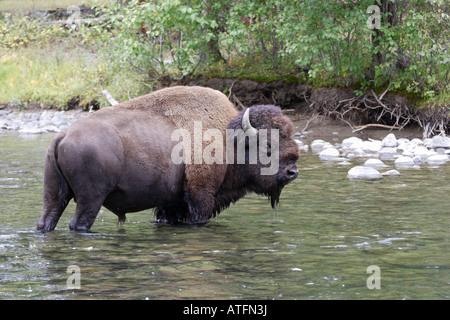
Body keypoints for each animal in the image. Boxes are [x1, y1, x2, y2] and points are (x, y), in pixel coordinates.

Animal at [36, 85, 298, 232]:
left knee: (47, 219)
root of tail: (63, 135)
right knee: (79, 223)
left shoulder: (171, 204)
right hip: (91, 199)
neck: (227, 138)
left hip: (55, 195)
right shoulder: (200, 199)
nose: (292, 172)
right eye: (267, 146)